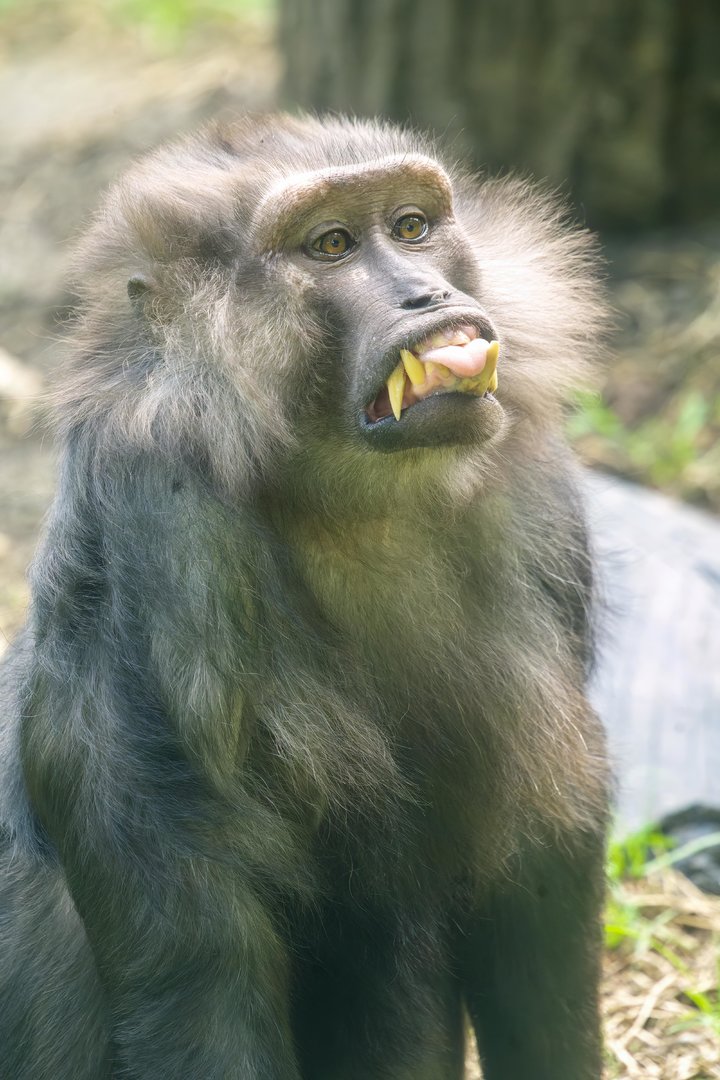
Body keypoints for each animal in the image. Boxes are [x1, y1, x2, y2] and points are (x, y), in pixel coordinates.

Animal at [0, 113, 610, 1080]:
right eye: (330, 246)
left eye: (410, 227)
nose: (425, 294)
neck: (351, 505)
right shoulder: (158, 527)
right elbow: (195, 953)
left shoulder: (535, 490)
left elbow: (541, 855)